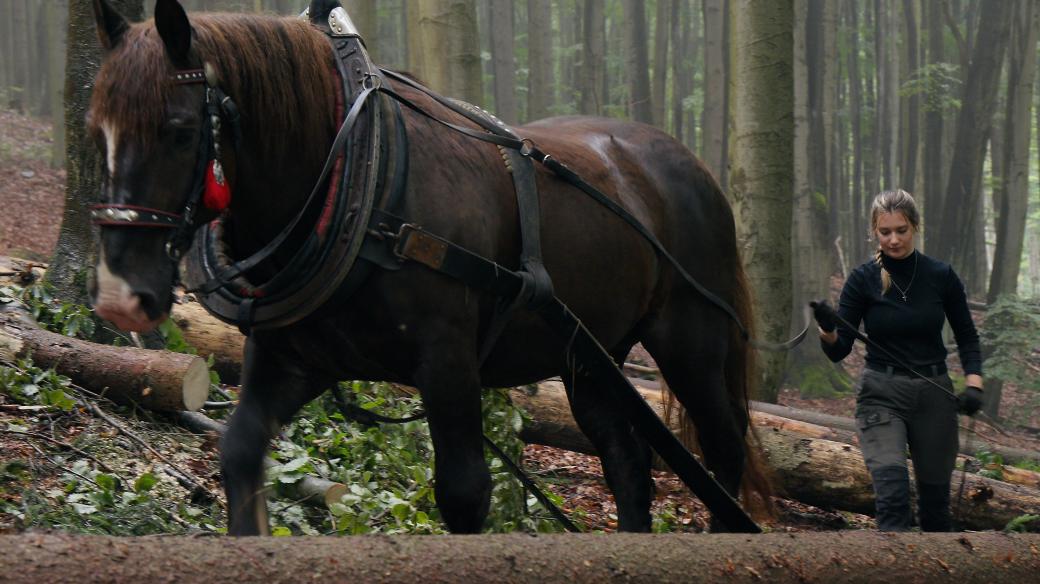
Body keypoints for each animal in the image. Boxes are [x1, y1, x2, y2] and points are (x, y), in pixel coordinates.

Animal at [89, 0, 769, 532]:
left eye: (179, 130)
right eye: (97, 130)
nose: (121, 297)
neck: (359, 176)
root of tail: (689, 163)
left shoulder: (448, 363)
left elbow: (464, 493)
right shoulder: (293, 358)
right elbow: (239, 451)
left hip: (692, 343)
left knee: (724, 453)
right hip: (589, 359)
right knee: (628, 469)